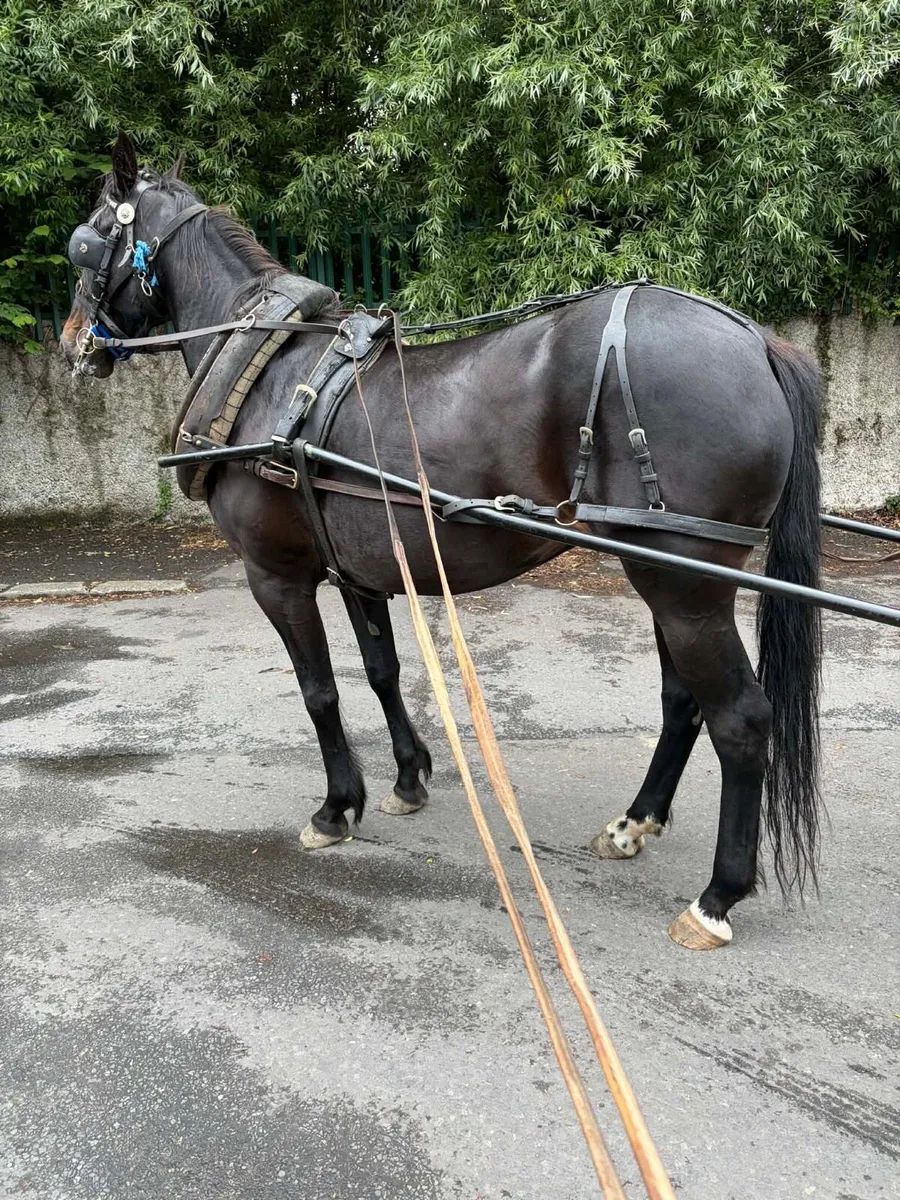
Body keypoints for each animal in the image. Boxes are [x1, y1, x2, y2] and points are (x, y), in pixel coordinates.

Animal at [60, 133, 824, 950]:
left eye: (85, 242)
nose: (72, 346)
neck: (266, 374)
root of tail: (757, 341)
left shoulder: (277, 574)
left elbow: (319, 689)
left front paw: (338, 807)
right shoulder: (359, 570)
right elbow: (382, 672)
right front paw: (407, 777)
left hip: (684, 582)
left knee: (741, 718)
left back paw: (717, 897)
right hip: (665, 575)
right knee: (684, 699)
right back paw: (634, 823)